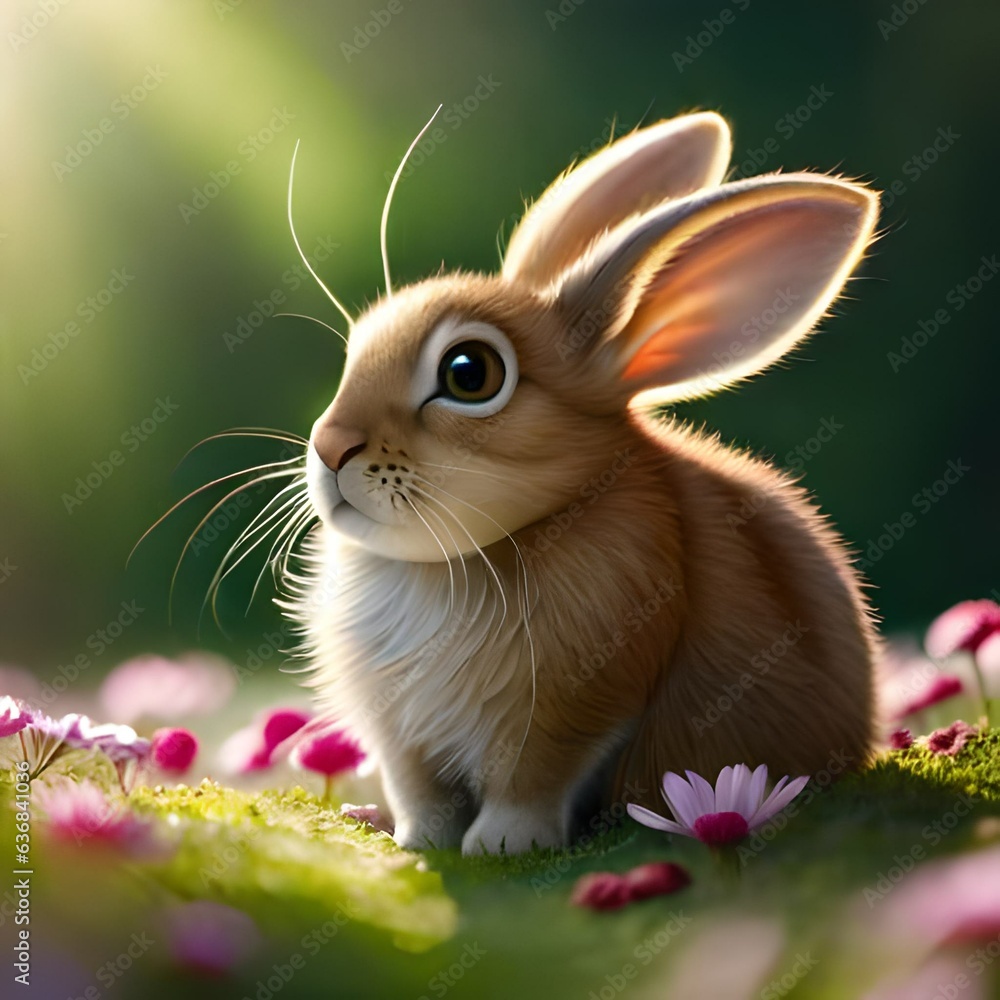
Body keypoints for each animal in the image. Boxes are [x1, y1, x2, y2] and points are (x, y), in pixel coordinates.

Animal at [287, 110, 880, 855]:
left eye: (468, 372)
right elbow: (423, 795)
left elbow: (532, 781)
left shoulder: (576, 711)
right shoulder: (403, 740)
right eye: (357, 347)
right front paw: (417, 842)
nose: (330, 445)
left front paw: (501, 846)